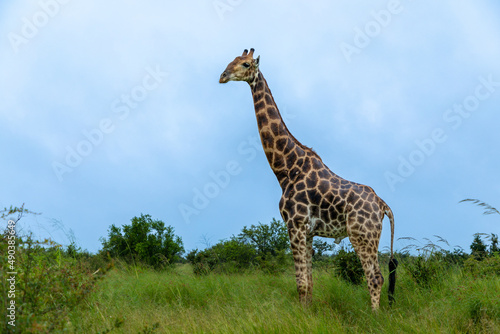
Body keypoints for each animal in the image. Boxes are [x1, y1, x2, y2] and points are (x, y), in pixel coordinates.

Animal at [219, 48, 398, 310]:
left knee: (375, 277)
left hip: (362, 235)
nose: (222, 76)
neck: (285, 169)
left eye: (245, 64)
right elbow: (309, 284)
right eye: (231, 60)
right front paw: (308, 312)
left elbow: (301, 284)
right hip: (368, 236)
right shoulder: (309, 231)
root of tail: (383, 205)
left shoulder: (294, 225)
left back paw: (374, 315)